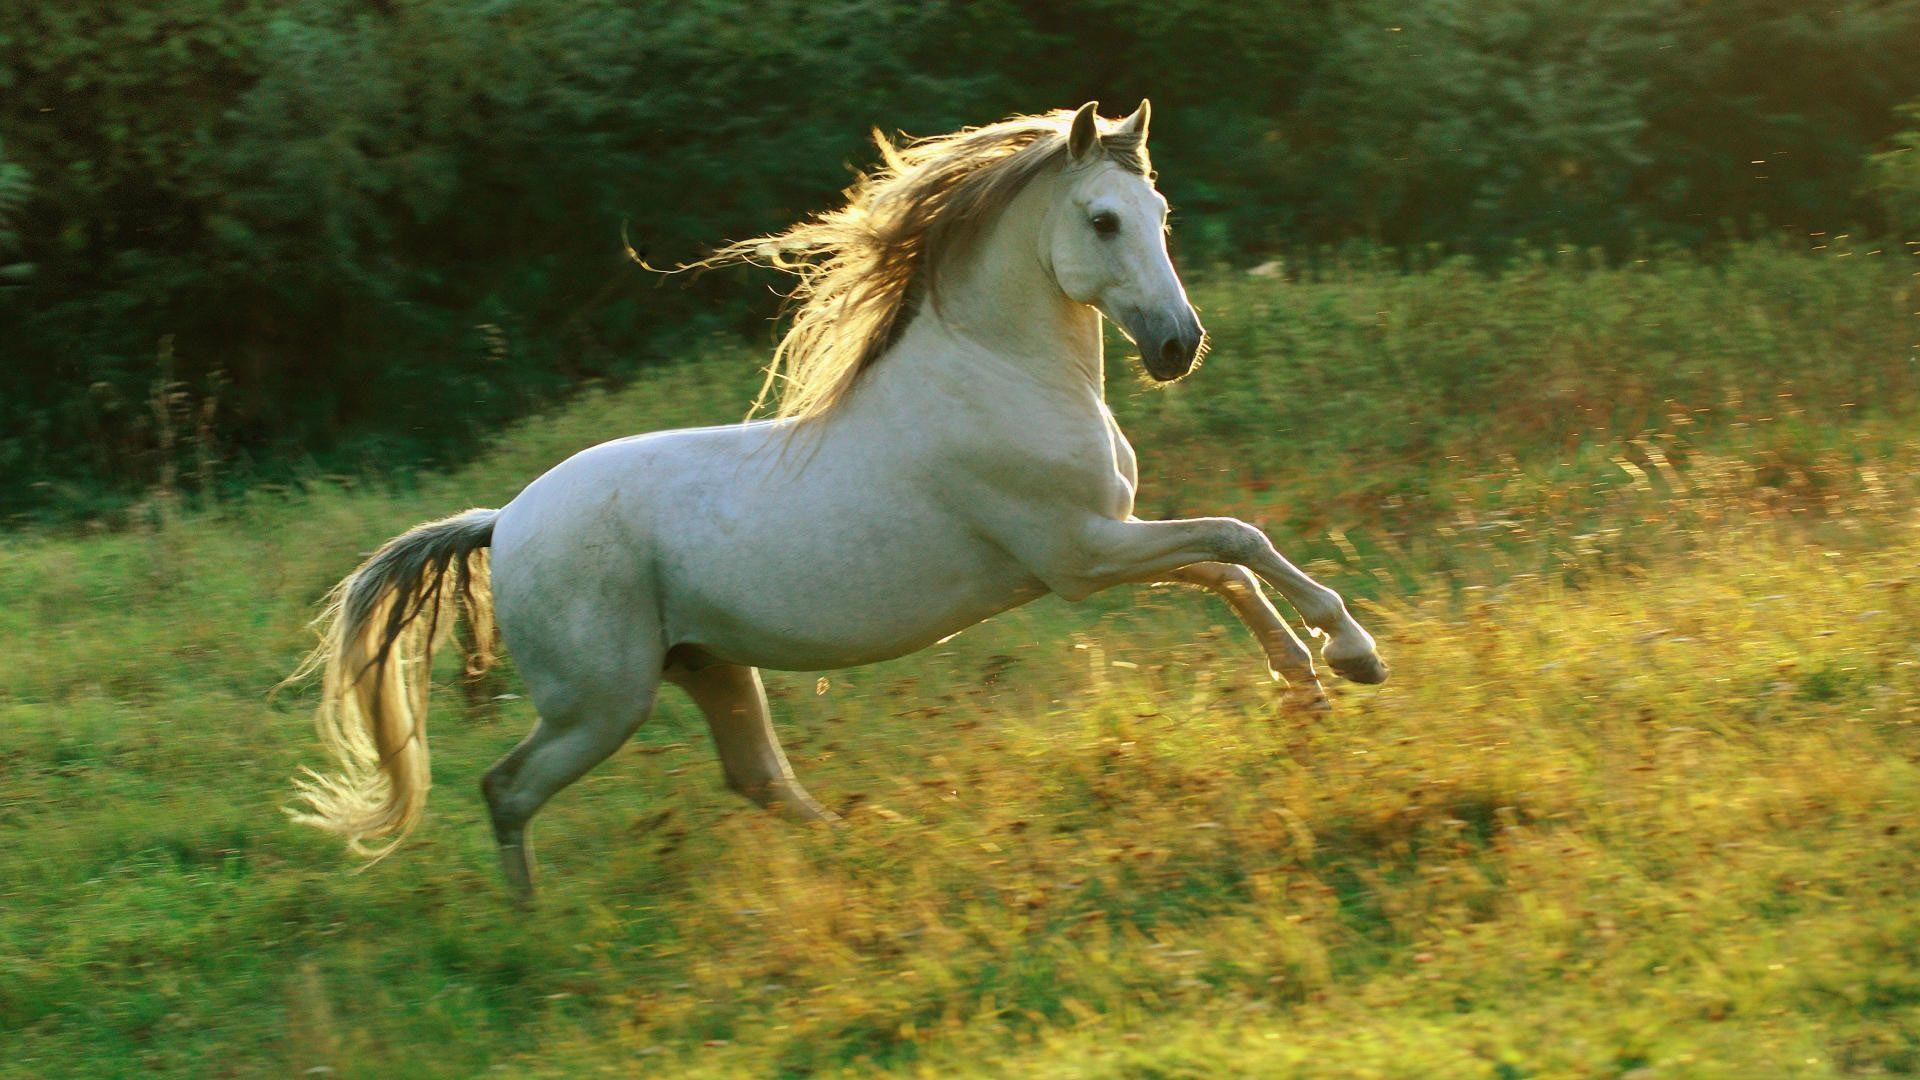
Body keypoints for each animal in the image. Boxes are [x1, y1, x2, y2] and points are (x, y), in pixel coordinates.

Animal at [286, 101, 1389, 900]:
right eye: (1103, 220)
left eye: (1159, 217)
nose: (1177, 346)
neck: (1000, 374)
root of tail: (503, 521)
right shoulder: (1080, 555)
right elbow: (1237, 541)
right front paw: (1352, 653)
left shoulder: (1104, 543)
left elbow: (1227, 567)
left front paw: (1308, 686)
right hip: (600, 702)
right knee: (506, 788)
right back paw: (535, 927)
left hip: (707, 666)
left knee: (757, 779)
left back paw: (871, 849)